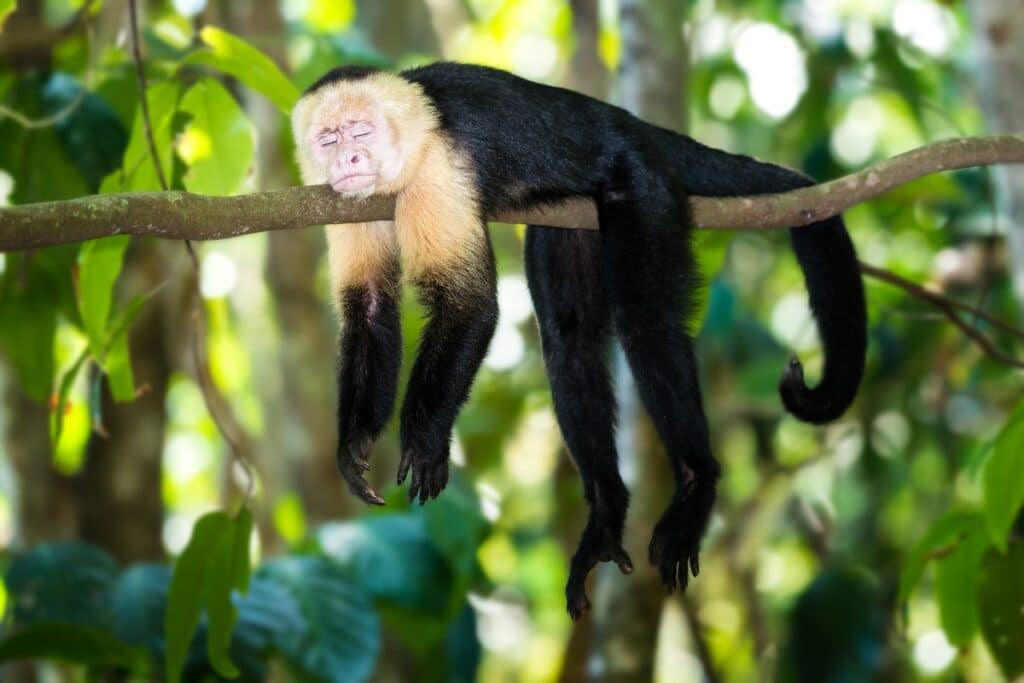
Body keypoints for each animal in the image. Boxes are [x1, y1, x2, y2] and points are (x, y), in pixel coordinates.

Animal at [292, 62, 868, 618]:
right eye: (328, 139)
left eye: (361, 131)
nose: (349, 157)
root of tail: (627, 121)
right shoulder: (348, 204)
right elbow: (370, 309)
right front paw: (355, 444)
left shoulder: (437, 173)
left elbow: (468, 306)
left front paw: (425, 439)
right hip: (571, 211)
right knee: (568, 344)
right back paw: (607, 516)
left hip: (642, 180)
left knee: (646, 324)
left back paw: (696, 483)